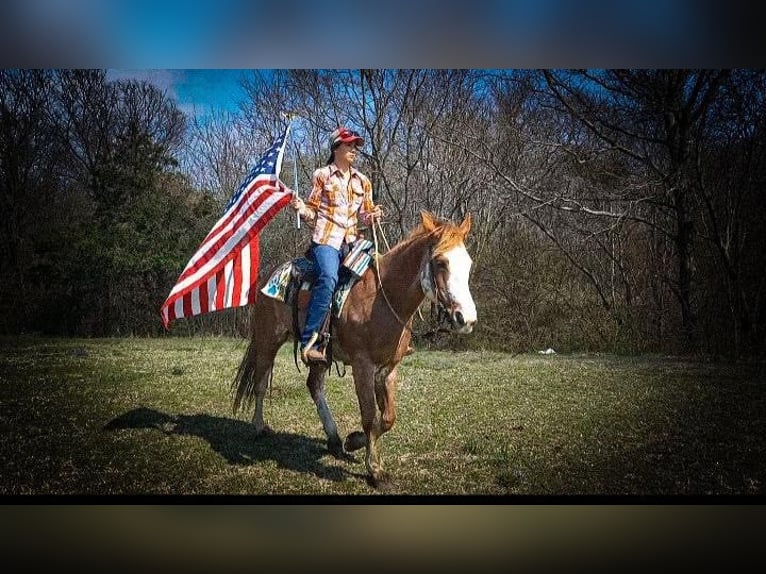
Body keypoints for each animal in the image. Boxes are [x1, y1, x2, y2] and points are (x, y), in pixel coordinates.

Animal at [231, 209, 476, 488]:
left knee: (314, 386)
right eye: (441, 262)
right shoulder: (362, 366)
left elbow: (387, 418)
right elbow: (369, 415)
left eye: (468, 264)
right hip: (267, 339)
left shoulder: (389, 368)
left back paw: (335, 440)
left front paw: (354, 441)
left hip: (320, 355)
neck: (384, 298)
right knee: (260, 382)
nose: (466, 319)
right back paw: (260, 428)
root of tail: (268, 276)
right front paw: (375, 470)